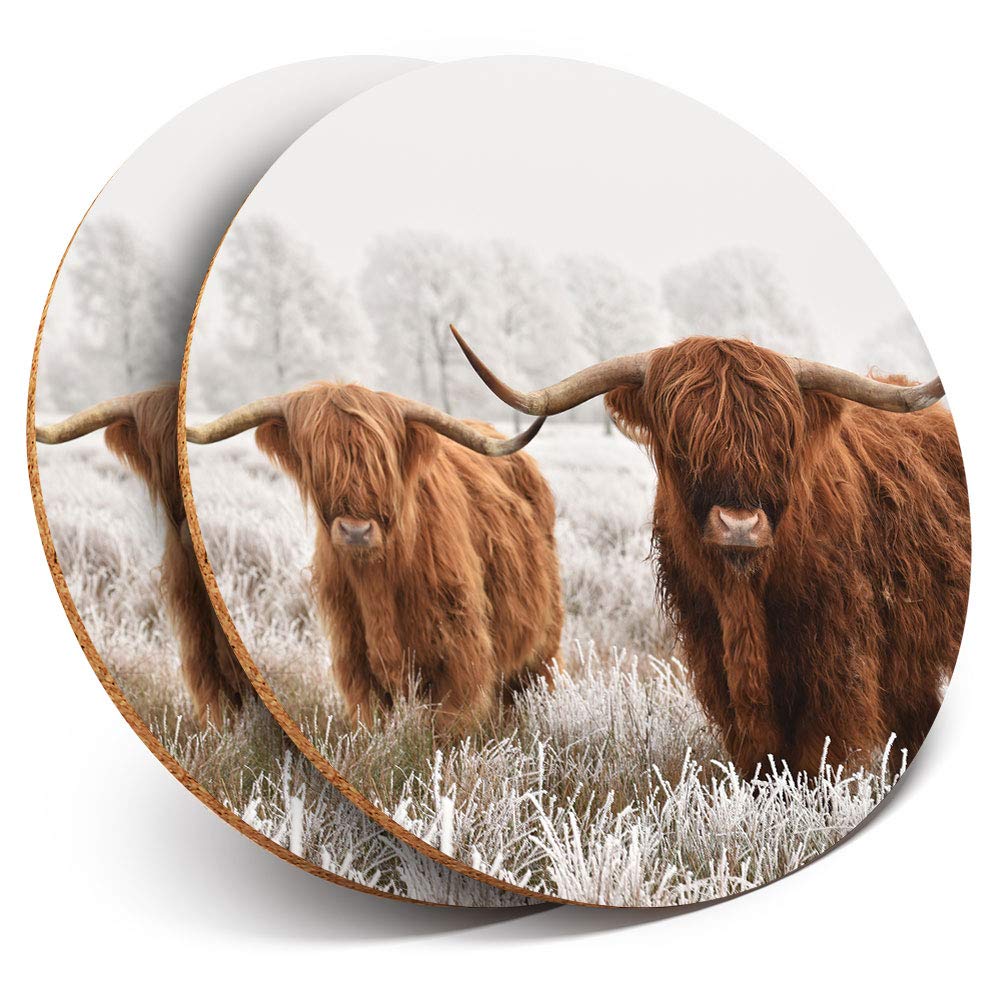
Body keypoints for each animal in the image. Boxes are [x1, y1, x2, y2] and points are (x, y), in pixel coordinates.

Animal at [186, 382, 564, 732]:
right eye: (318, 459)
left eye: (382, 462)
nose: (355, 531)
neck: (378, 579)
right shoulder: (354, 656)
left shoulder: (460, 653)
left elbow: (450, 727)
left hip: (543, 641)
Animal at [451, 326, 970, 777]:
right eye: (682, 440)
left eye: (780, 440)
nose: (739, 526)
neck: (744, 596)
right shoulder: (714, 658)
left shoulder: (838, 665)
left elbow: (822, 758)